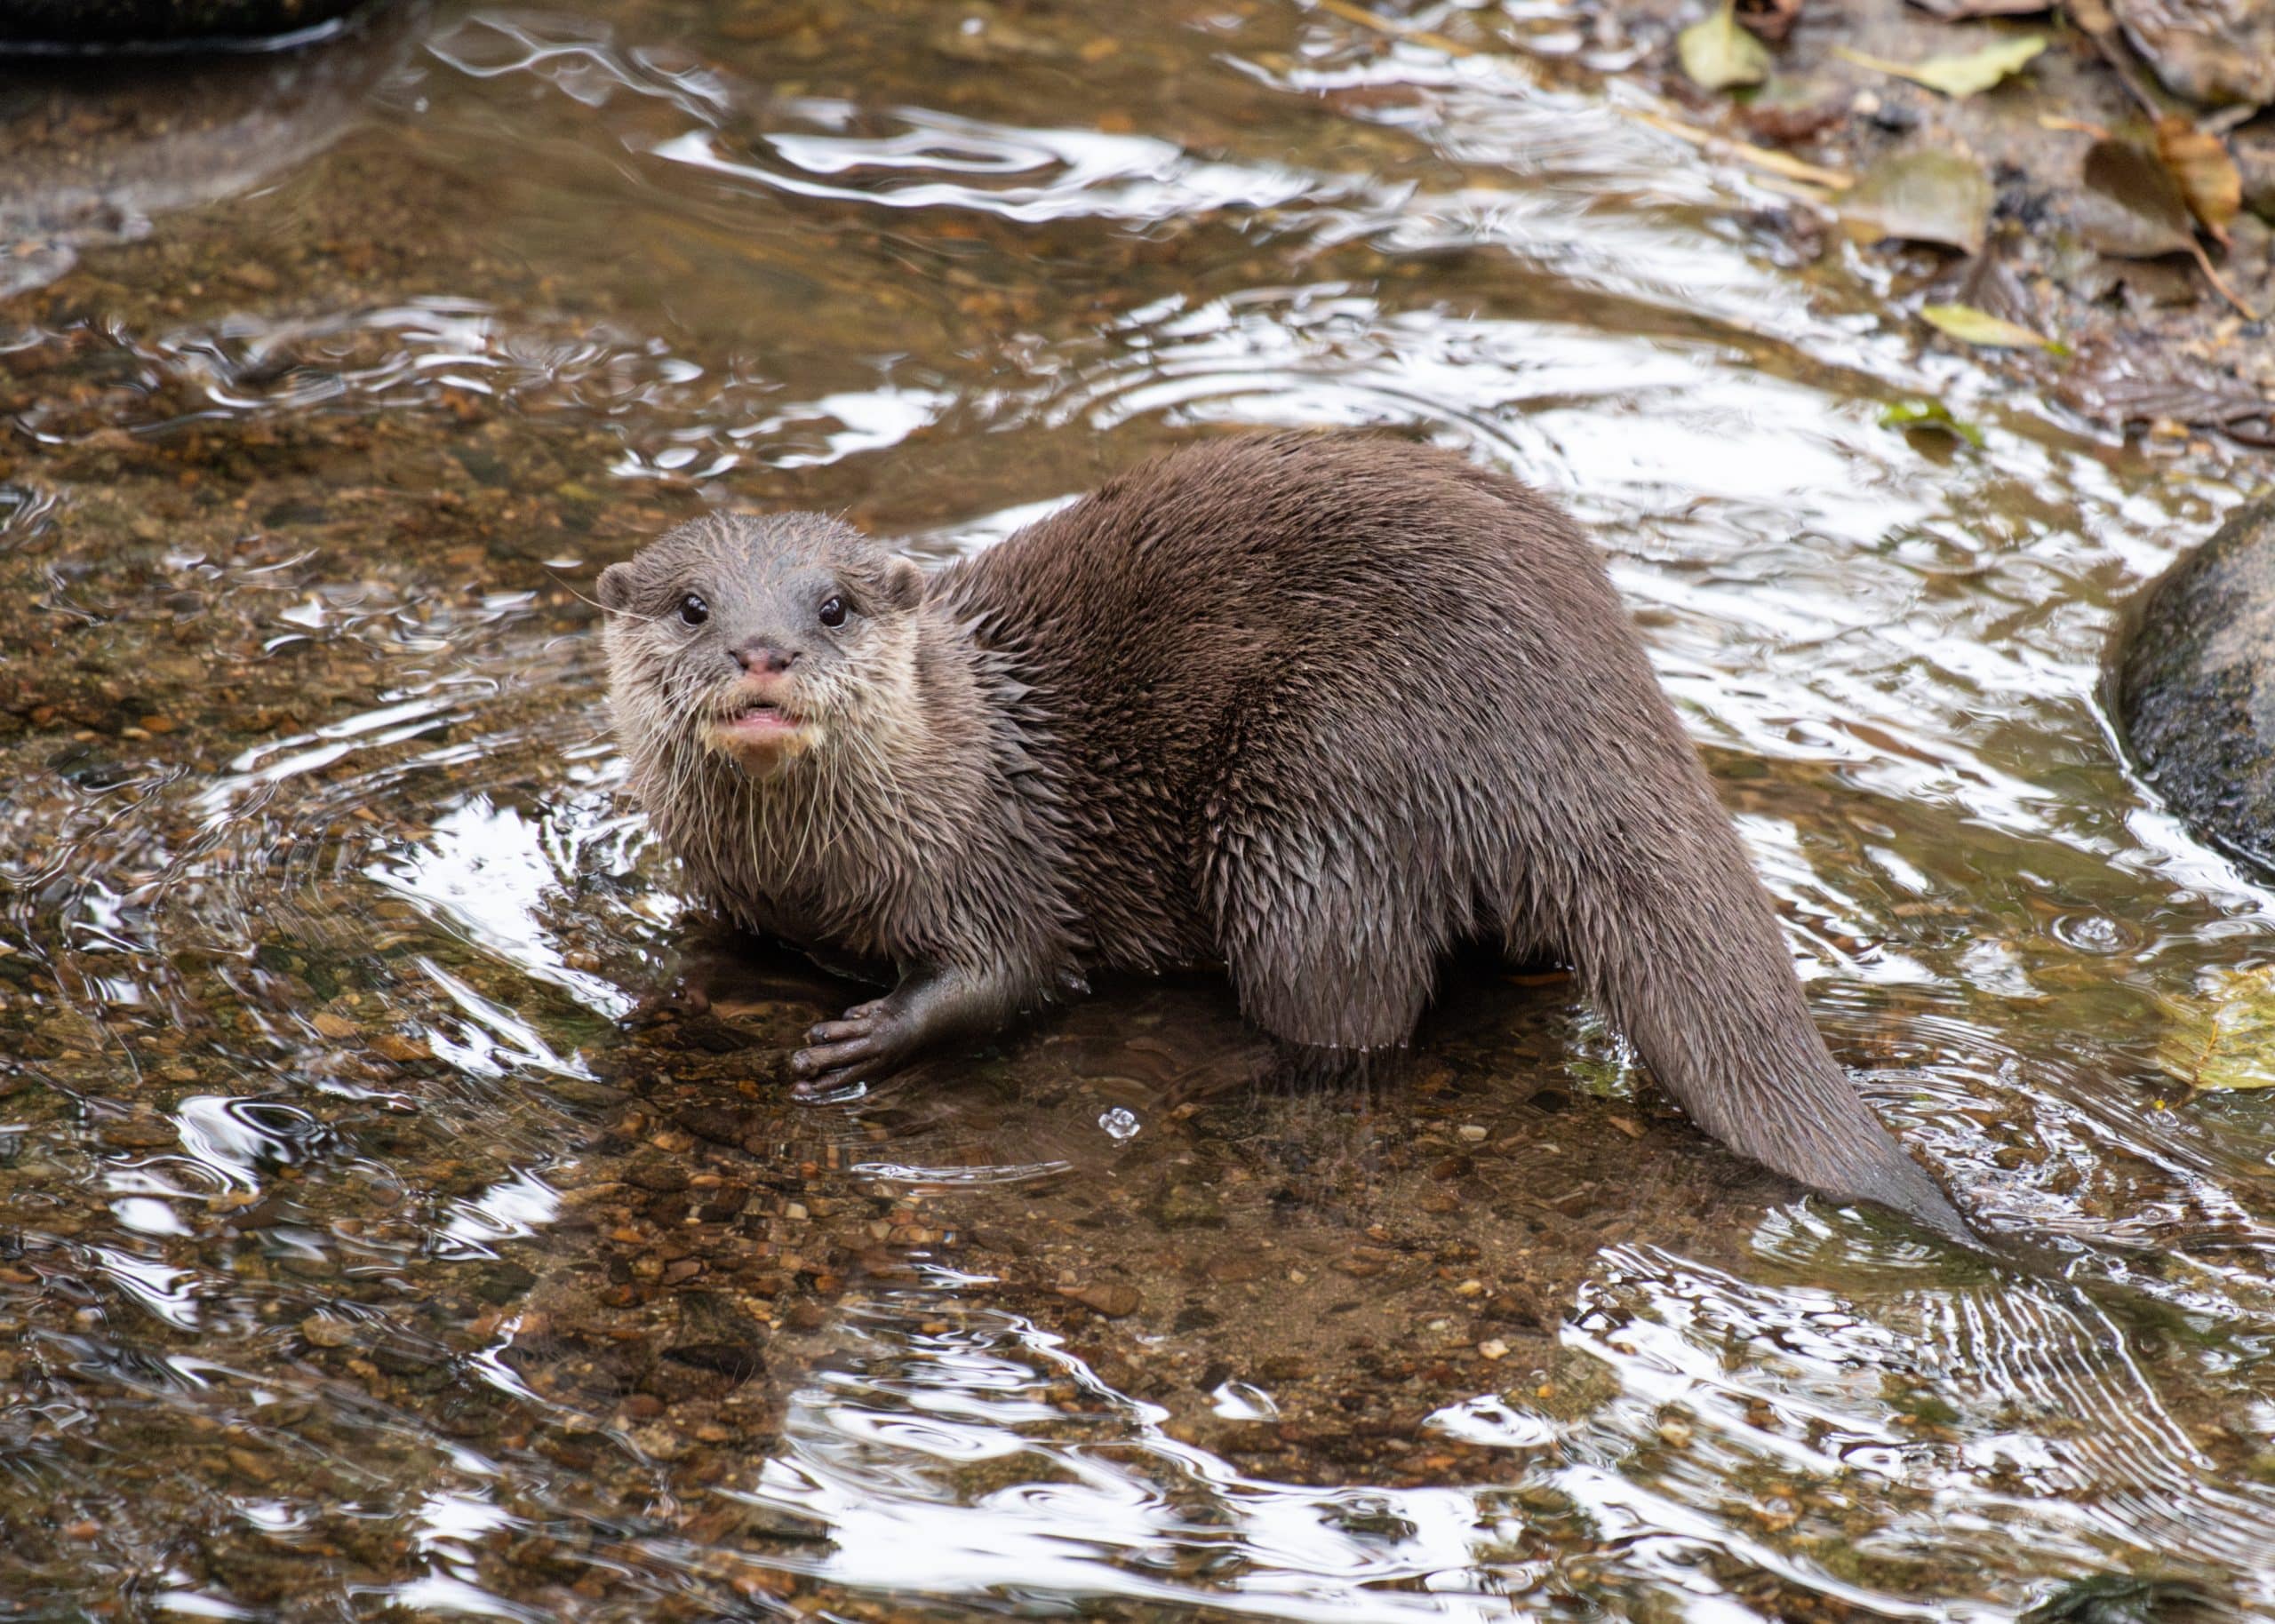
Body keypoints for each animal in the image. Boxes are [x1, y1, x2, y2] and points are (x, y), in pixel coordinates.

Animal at [600, 433, 1970, 1242]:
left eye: (831, 607)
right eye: (694, 604)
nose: (762, 650)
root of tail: (1589, 687)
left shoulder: (993, 851)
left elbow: (1011, 972)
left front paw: (870, 1034)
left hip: (1308, 787)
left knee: (1350, 1017)